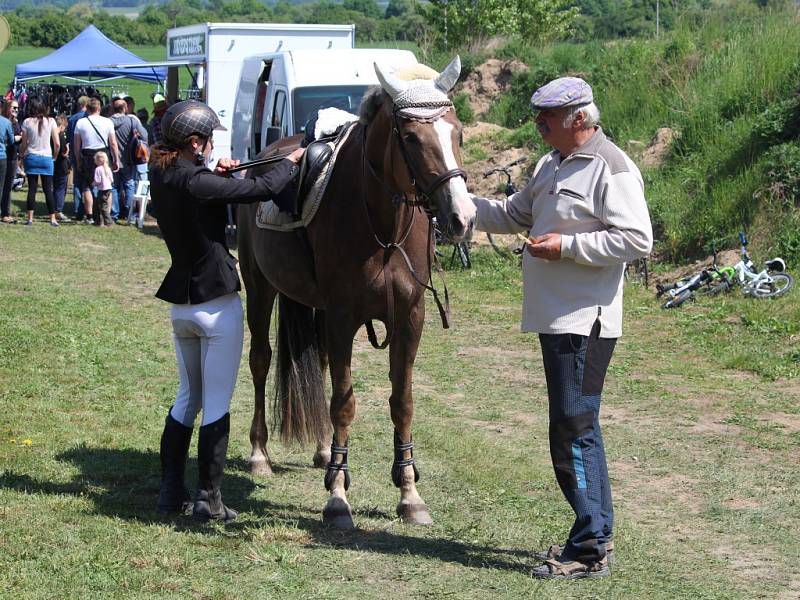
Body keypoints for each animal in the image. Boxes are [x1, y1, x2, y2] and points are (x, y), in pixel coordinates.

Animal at [238, 54, 476, 528]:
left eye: (457, 132)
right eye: (411, 137)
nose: (463, 217)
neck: (384, 227)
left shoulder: (409, 318)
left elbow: (401, 402)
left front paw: (409, 493)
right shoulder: (344, 316)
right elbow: (344, 404)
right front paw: (337, 496)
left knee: (320, 363)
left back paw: (323, 450)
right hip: (259, 288)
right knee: (260, 361)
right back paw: (259, 454)